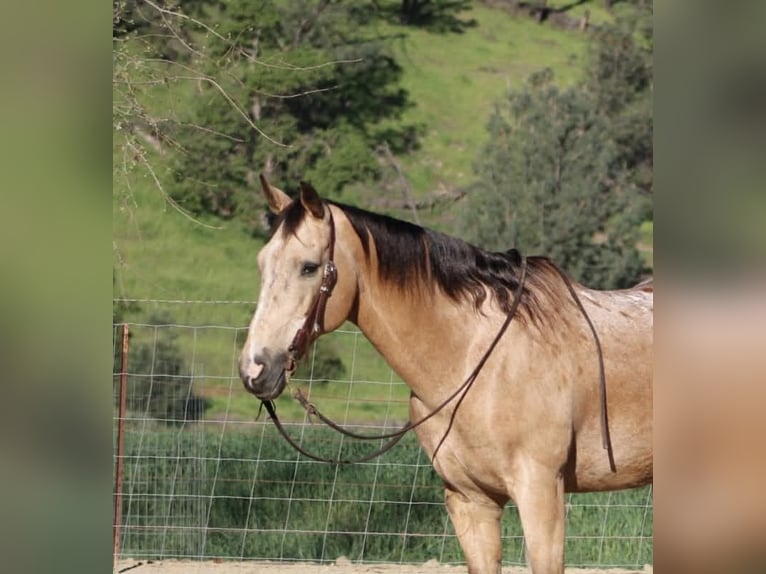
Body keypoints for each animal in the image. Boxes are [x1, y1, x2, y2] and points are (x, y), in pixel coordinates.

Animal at [239, 176, 653, 574]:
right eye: (260, 263)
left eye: (308, 266)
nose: (255, 369)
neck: (476, 359)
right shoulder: (470, 501)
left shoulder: (540, 494)